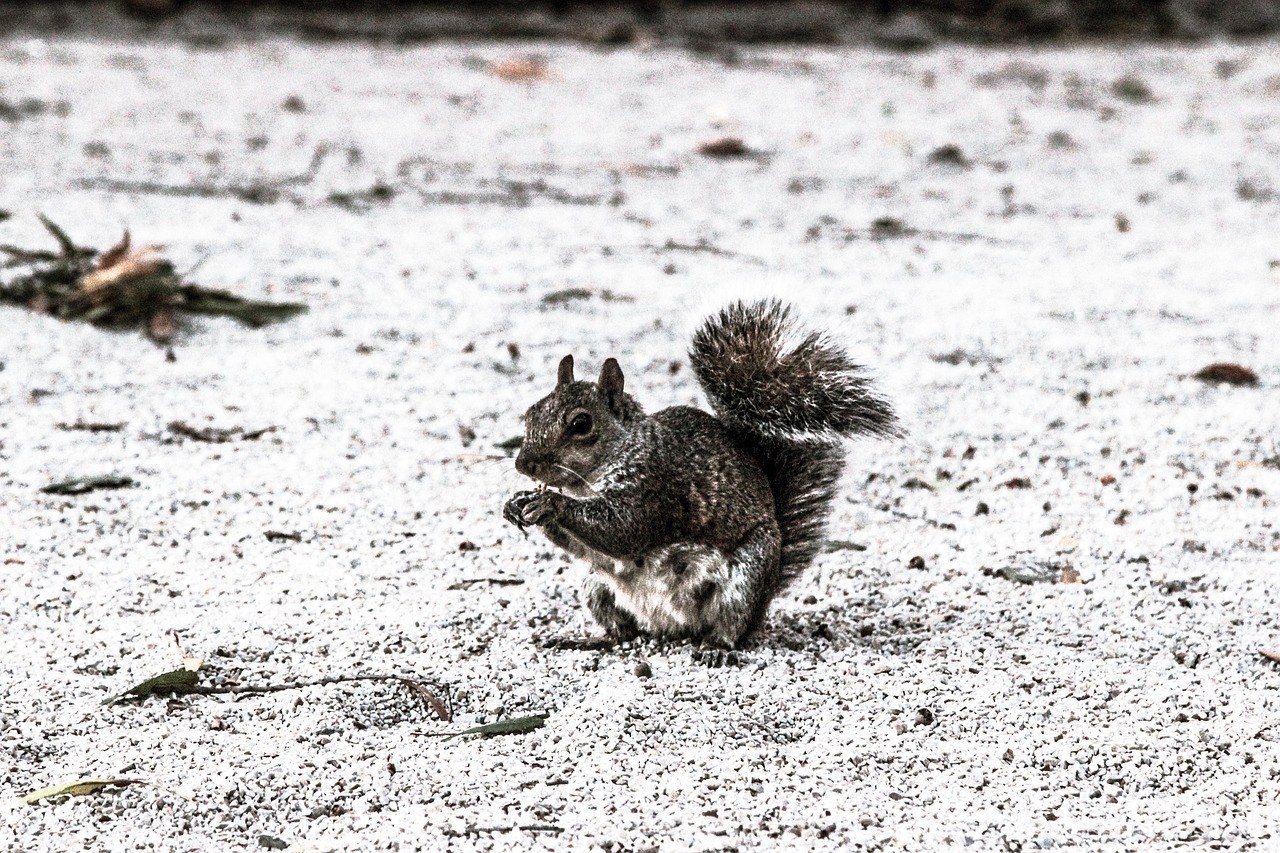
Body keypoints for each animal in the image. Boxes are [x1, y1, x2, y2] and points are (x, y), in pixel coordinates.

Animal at [501, 298, 901, 645]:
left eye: (581, 423)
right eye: (532, 411)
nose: (523, 464)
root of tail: (671, 627)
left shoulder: (653, 484)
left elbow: (622, 529)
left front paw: (551, 504)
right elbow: (583, 545)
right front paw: (517, 503)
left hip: (745, 578)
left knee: (731, 623)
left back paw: (717, 646)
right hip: (594, 586)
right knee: (624, 632)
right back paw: (592, 641)